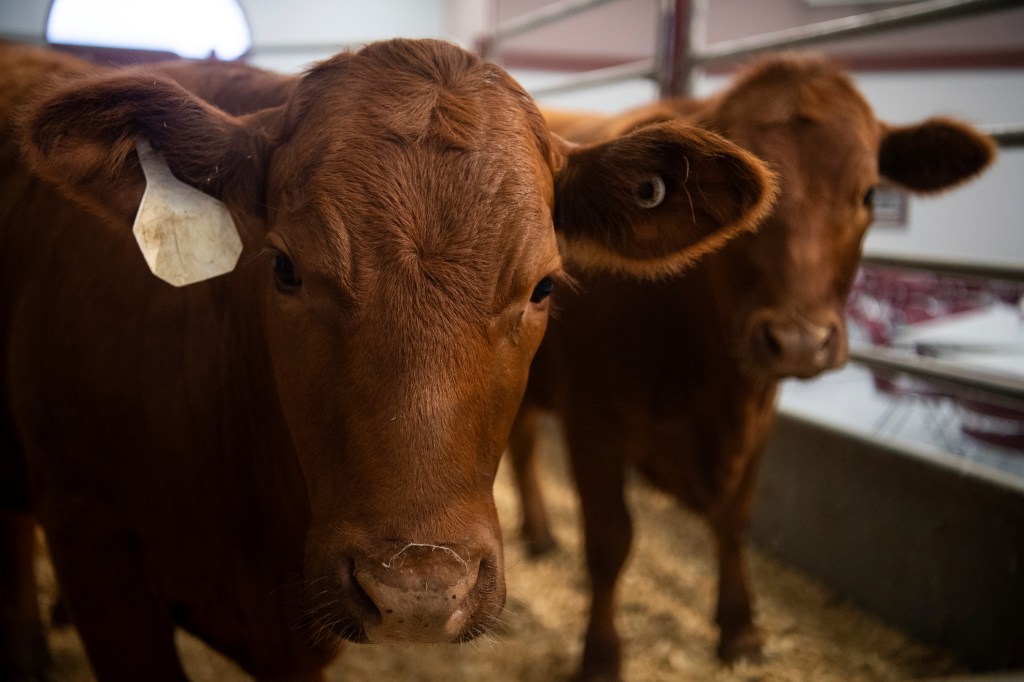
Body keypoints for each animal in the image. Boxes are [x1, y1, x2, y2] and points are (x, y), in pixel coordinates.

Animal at [510, 52, 996, 681]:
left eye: (869, 195)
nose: (798, 341)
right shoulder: (593, 418)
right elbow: (610, 539)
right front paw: (601, 657)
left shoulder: (759, 414)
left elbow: (736, 519)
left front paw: (739, 628)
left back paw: (539, 533)